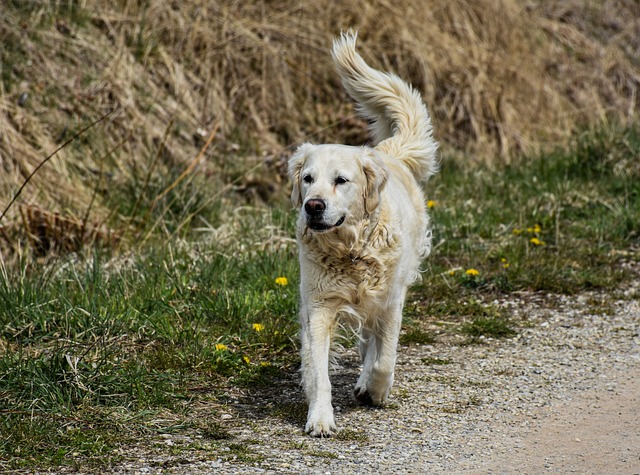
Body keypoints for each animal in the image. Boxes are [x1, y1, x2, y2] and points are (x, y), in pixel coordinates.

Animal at [288, 31, 438, 436]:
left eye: (341, 180)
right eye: (307, 179)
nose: (313, 206)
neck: (351, 250)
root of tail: (386, 151)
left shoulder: (390, 300)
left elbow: (385, 357)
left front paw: (375, 389)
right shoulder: (319, 306)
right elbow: (318, 371)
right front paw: (320, 417)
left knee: (374, 342)